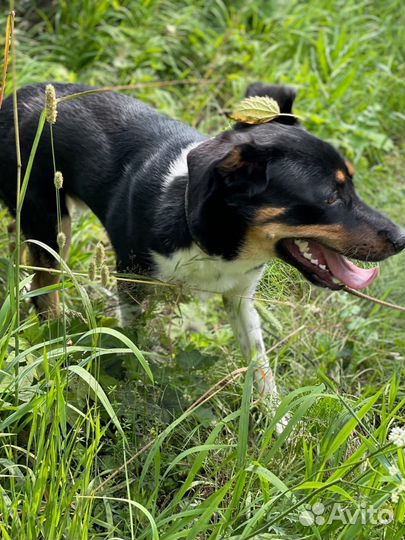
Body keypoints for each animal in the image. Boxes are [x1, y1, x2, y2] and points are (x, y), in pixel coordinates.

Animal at [0, 82, 402, 398]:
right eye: (330, 197)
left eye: (352, 185)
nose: (401, 238)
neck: (219, 239)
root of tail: (17, 96)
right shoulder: (132, 282)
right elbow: (137, 340)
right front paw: (141, 377)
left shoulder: (240, 297)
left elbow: (261, 366)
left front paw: (276, 424)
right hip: (51, 224)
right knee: (43, 287)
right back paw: (58, 340)